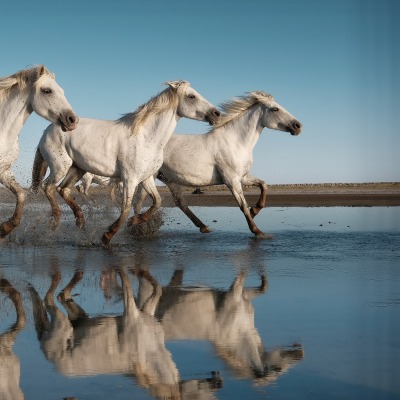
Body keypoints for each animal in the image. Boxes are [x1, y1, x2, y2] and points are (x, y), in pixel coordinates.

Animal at [0, 65, 78, 238]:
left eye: (62, 91)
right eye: (47, 90)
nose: (72, 120)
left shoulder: (4, 170)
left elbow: (21, 195)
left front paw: (5, 228)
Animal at [32, 80, 220, 244]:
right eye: (191, 96)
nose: (216, 114)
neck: (147, 138)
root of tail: (48, 130)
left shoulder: (146, 178)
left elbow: (157, 202)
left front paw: (135, 221)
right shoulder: (130, 179)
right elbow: (126, 207)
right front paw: (107, 236)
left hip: (78, 169)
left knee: (63, 189)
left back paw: (80, 219)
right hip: (60, 166)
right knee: (48, 186)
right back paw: (55, 222)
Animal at [133, 91, 302, 238]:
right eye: (275, 108)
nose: (298, 126)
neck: (236, 142)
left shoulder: (243, 177)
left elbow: (264, 185)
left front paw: (255, 210)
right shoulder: (231, 180)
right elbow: (242, 205)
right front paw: (258, 231)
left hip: (169, 179)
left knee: (180, 203)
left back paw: (203, 227)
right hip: (150, 176)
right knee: (140, 202)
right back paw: (138, 225)